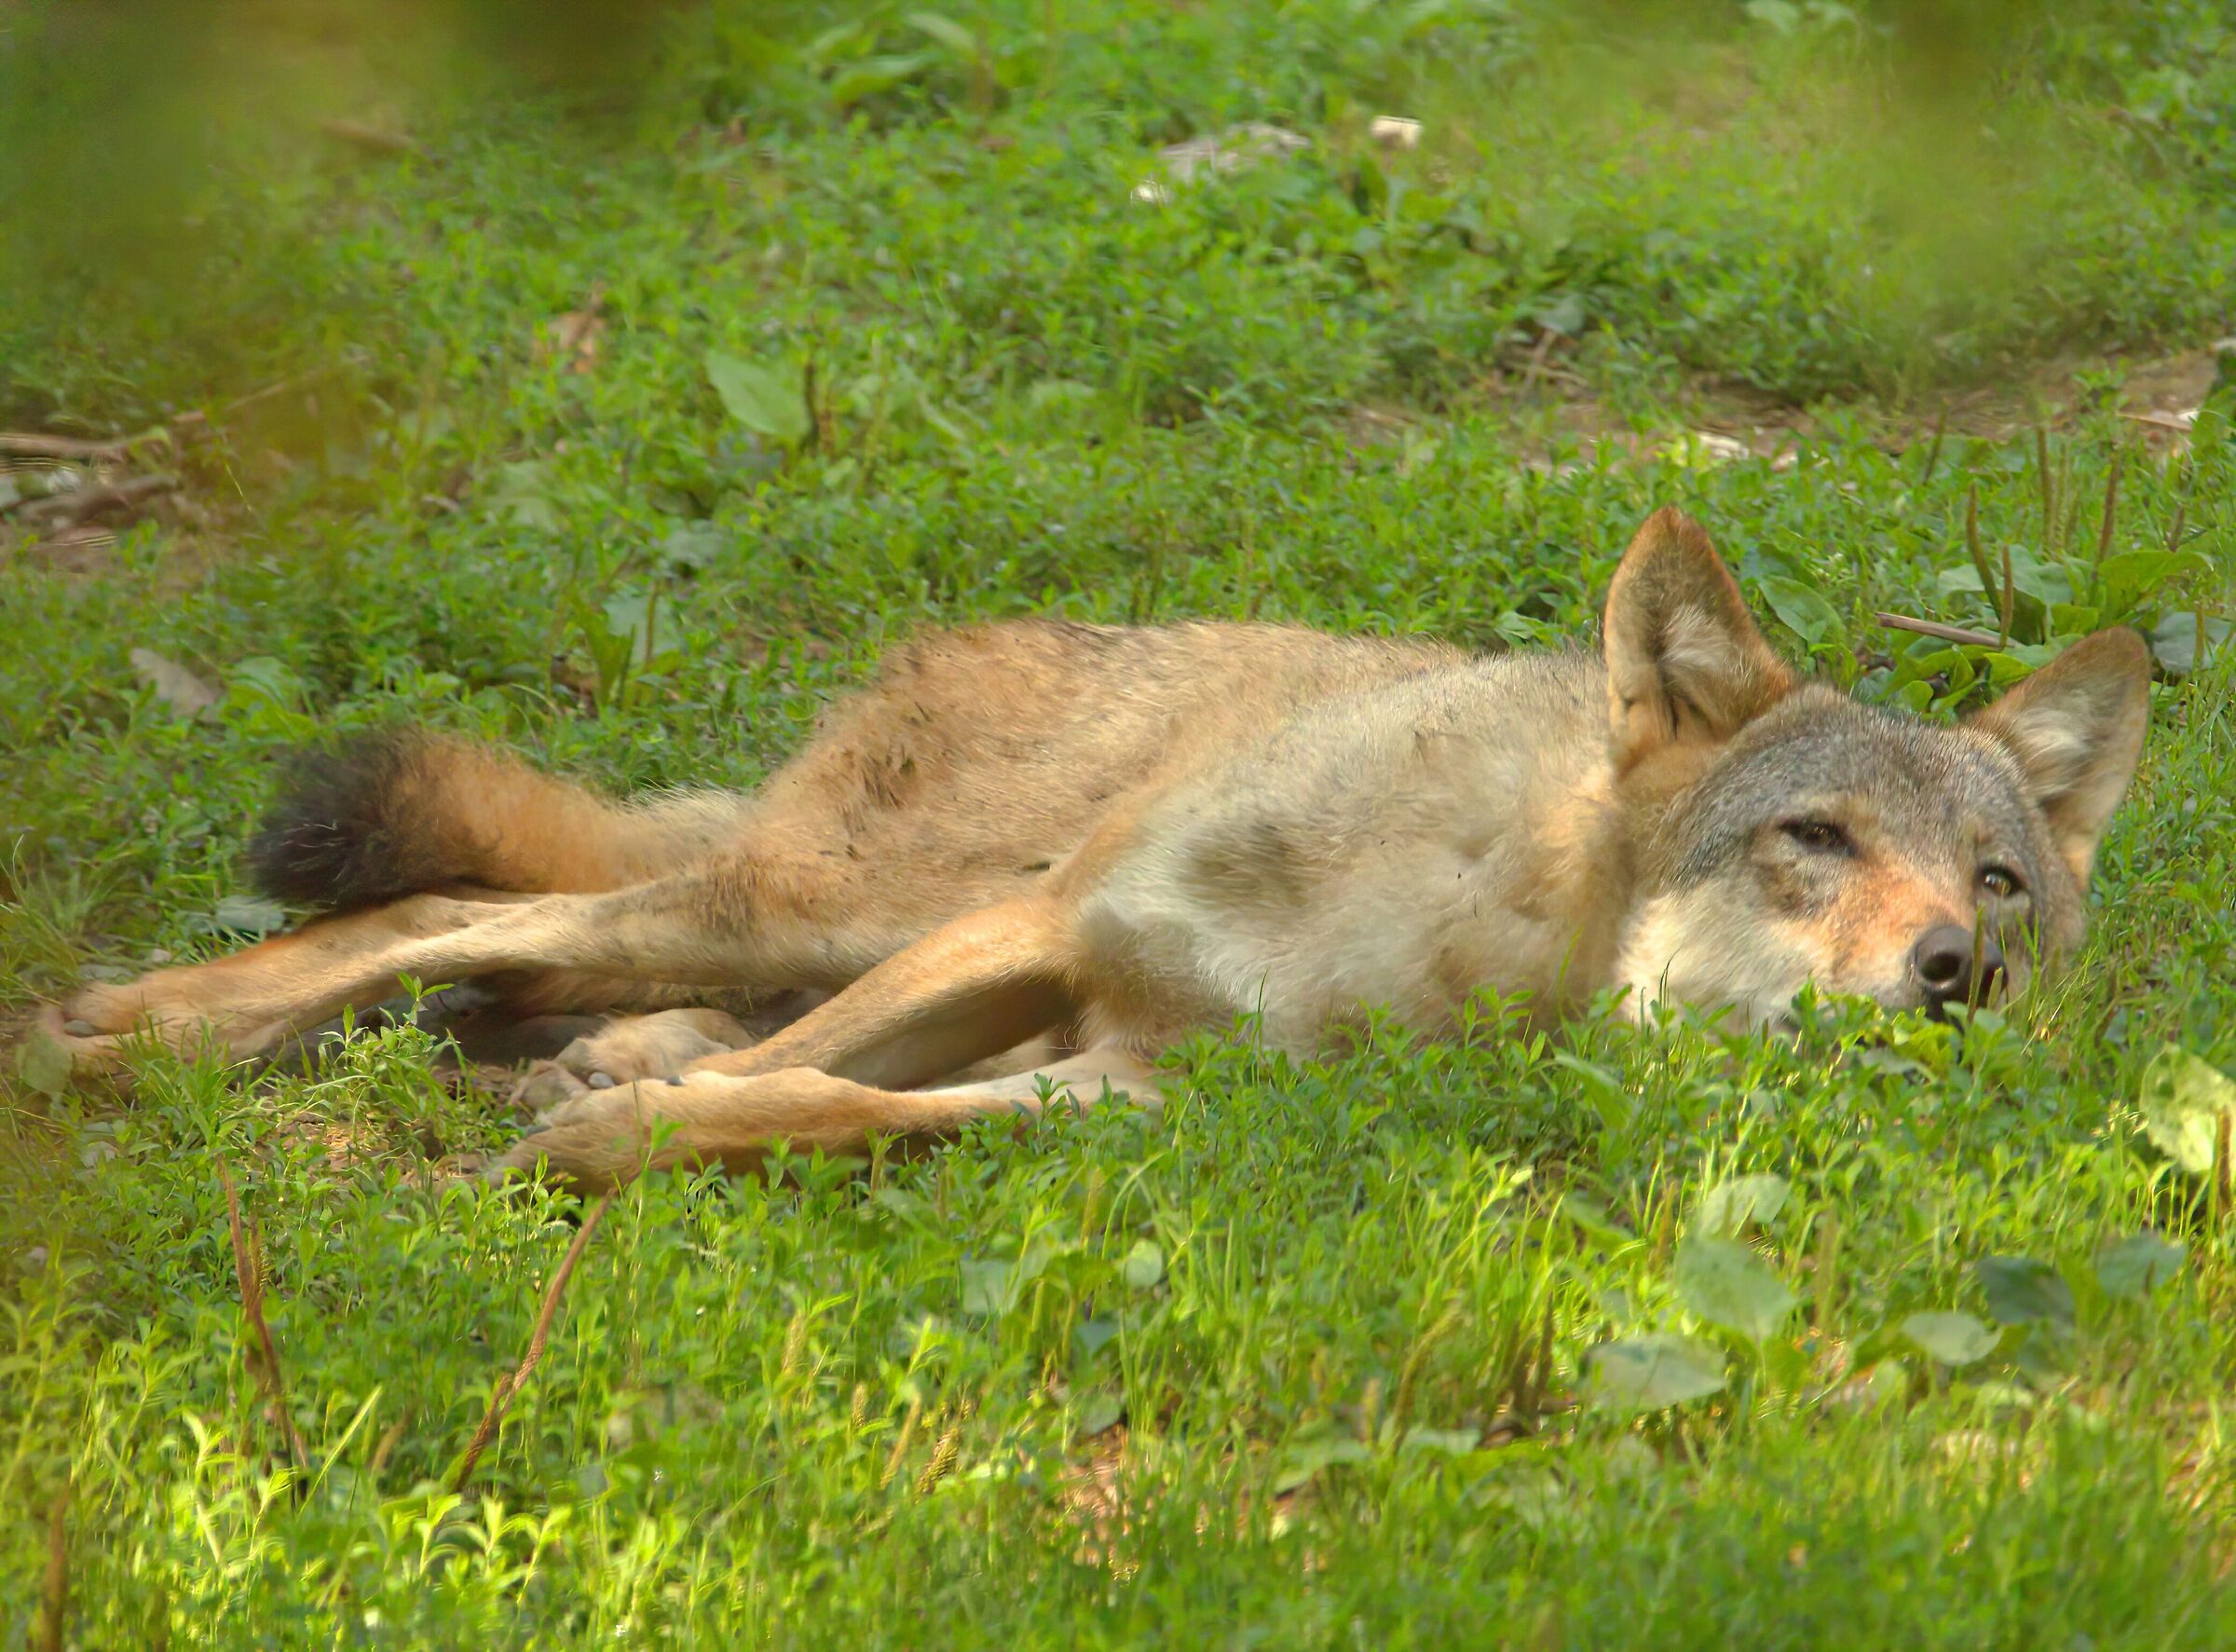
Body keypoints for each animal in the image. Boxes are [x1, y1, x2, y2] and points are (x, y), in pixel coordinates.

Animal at [41, 509, 2151, 1189]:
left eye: (1994, 883)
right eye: (1816, 837)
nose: (1959, 975)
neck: (1429, 935)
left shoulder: (1135, 1085)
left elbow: (820, 1103)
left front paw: (615, 1138)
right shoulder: (1043, 932)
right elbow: (809, 1072)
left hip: (818, 921)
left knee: (544, 959)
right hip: (841, 901)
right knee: (444, 908)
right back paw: (128, 1030)